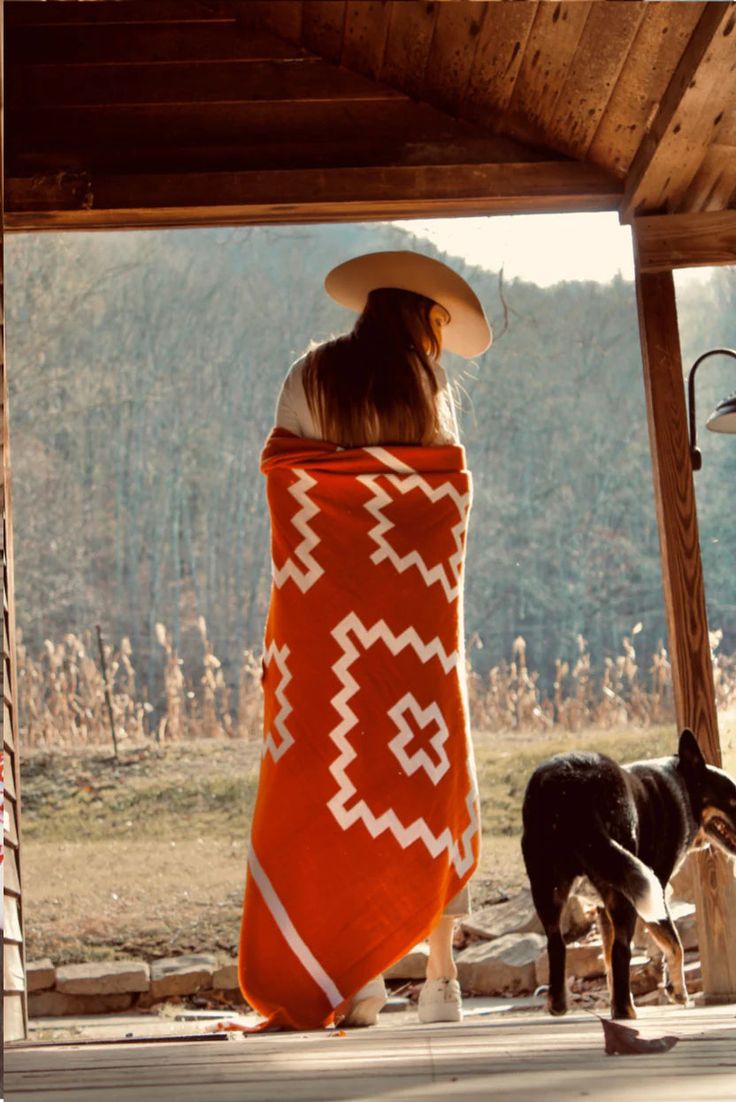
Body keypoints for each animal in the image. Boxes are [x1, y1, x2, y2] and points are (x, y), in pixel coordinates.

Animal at [520, 727, 736, 1018]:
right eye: (733, 801)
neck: (682, 786)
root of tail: (573, 786)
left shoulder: (602, 907)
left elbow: (610, 961)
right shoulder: (657, 889)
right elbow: (674, 943)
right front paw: (677, 991)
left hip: (547, 888)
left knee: (557, 943)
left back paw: (559, 1004)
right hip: (628, 892)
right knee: (622, 949)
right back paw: (626, 1012)